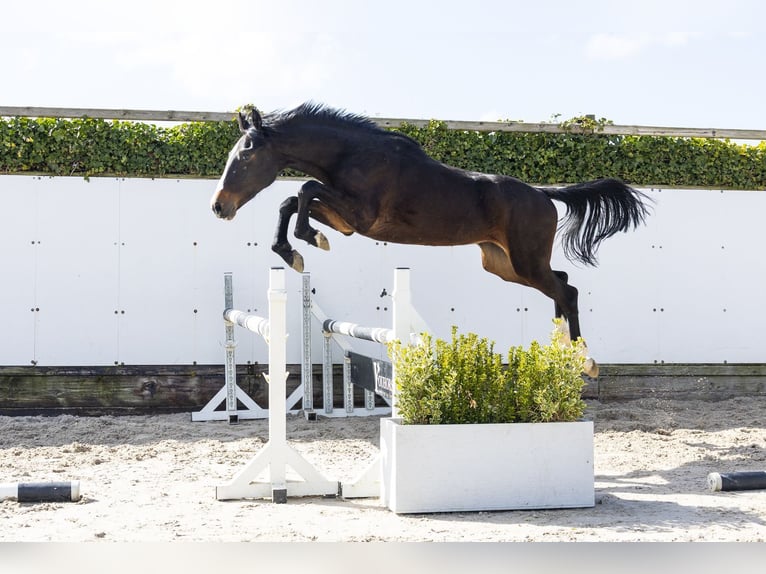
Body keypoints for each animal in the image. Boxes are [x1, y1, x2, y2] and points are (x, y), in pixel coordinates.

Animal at [211, 103, 651, 377]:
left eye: (245, 156)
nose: (219, 207)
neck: (353, 154)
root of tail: (545, 194)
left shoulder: (359, 215)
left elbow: (304, 189)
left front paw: (306, 241)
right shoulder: (346, 220)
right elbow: (292, 200)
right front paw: (293, 250)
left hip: (525, 263)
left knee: (567, 291)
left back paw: (584, 360)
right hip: (504, 265)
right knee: (561, 284)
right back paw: (564, 351)